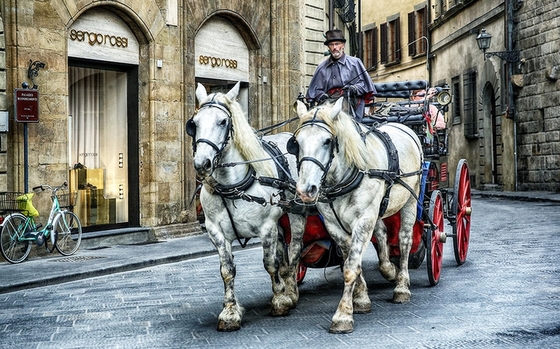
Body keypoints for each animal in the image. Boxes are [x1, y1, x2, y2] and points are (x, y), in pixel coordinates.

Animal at [188, 82, 304, 332]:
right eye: (194, 123)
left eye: (223, 121)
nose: (202, 163)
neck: (232, 185)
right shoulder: (216, 232)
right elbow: (227, 271)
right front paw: (230, 312)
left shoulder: (266, 227)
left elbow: (270, 263)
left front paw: (280, 301)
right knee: (284, 249)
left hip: (296, 212)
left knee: (294, 251)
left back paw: (291, 291)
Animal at [290, 97, 422, 332]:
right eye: (297, 142)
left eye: (327, 141)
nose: (306, 190)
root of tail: (403, 125)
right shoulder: (335, 225)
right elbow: (351, 261)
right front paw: (361, 300)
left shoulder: (363, 220)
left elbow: (351, 267)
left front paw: (343, 315)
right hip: (378, 209)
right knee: (382, 233)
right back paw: (389, 269)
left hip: (410, 199)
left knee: (405, 240)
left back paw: (402, 287)